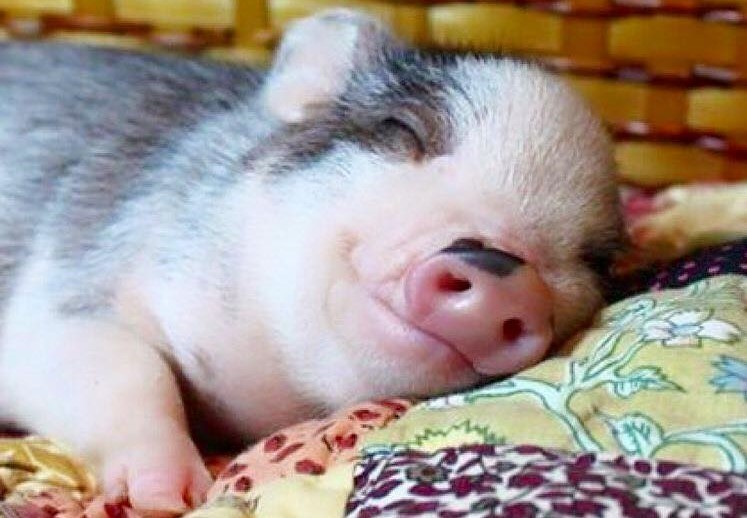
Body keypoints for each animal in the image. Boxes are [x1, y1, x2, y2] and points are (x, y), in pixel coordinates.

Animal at [0, 8, 623, 516]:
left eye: (594, 261)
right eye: (401, 129)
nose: (499, 267)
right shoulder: (72, 269)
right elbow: (122, 364)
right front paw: (167, 499)